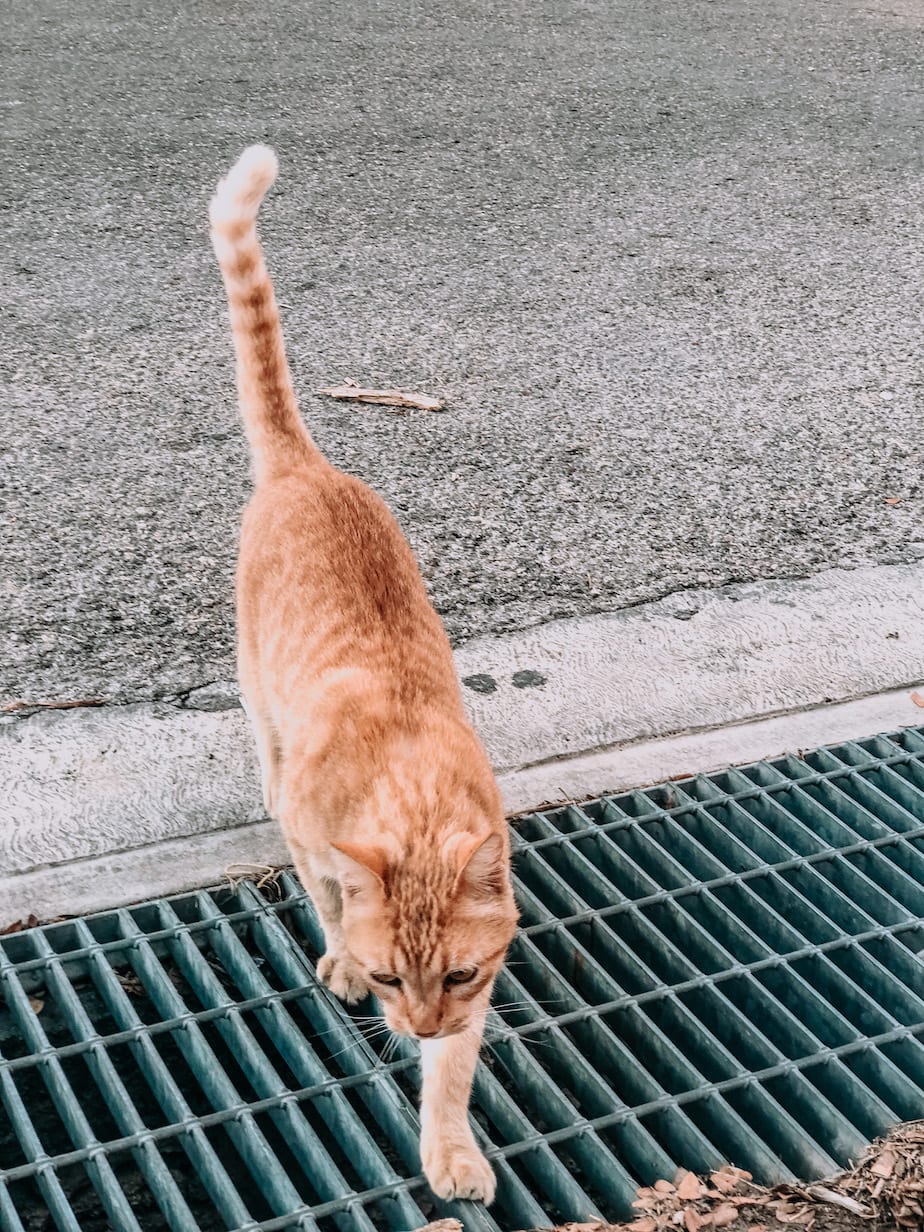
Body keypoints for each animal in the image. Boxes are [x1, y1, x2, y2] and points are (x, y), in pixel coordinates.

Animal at [208, 144, 522, 1202]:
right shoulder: (311, 829)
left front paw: (450, 1143)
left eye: (460, 978)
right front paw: (341, 954)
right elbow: (327, 891)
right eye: (390, 979)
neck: (410, 794)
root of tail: (308, 467)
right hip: (258, 700)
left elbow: (453, 1074)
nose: (413, 1022)